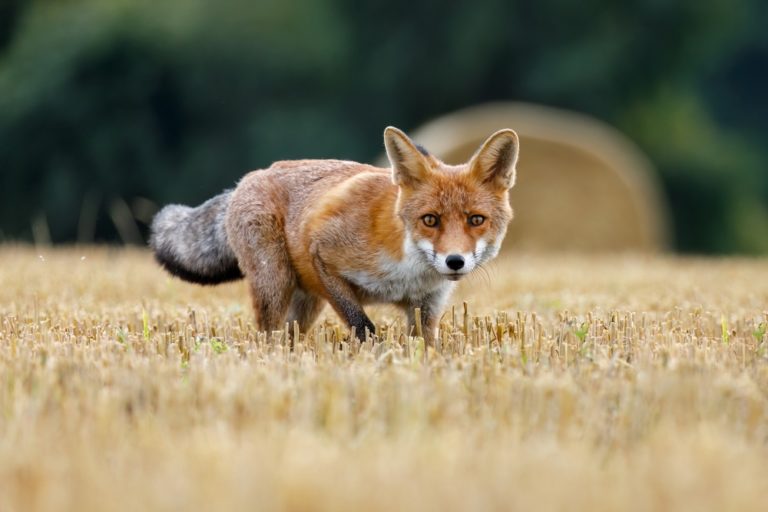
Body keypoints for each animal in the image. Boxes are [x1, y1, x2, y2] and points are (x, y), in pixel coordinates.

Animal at [149, 126, 519, 343]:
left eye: (475, 219)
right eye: (430, 219)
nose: (455, 261)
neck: (408, 270)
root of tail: (250, 177)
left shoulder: (426, 306)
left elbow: (426, 346)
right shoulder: (324, 253)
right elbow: (363, 326)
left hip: (306, 302)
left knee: (289, 337)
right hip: (276, 282)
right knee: (268, 336)